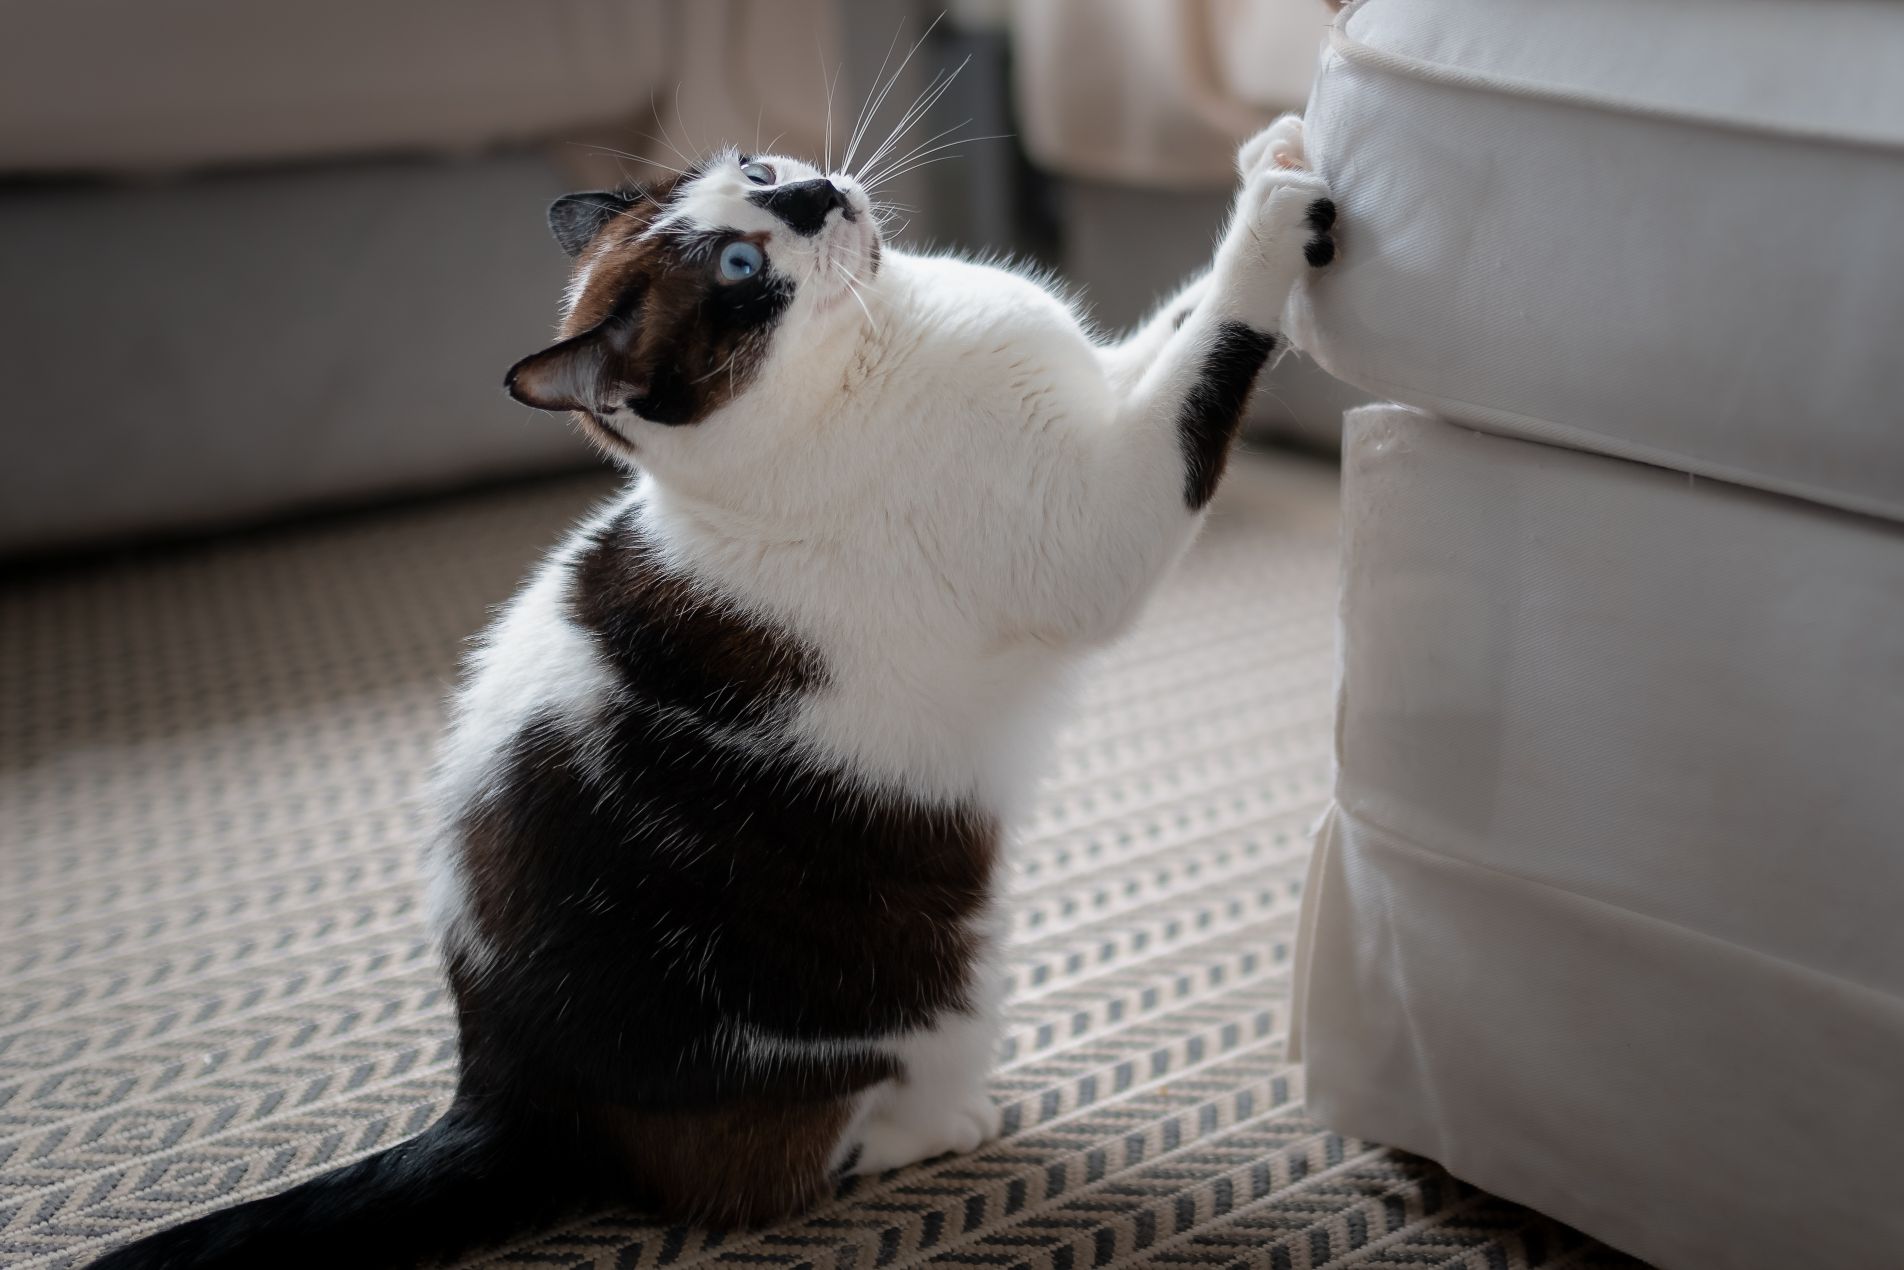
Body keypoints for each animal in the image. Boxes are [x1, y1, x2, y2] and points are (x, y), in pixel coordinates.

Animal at [92, 116, 1340, 1270]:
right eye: (739, 268)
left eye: (754, 170)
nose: (812, 193)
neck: (881, 340)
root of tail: (497, 1079)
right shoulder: (1096, 519)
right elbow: (1208, 355)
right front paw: (1274, 219)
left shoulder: (1099, 391)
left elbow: (1170, 328)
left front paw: (1271, 154)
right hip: (929, 998)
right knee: (792, 1163)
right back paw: (943, 1126)